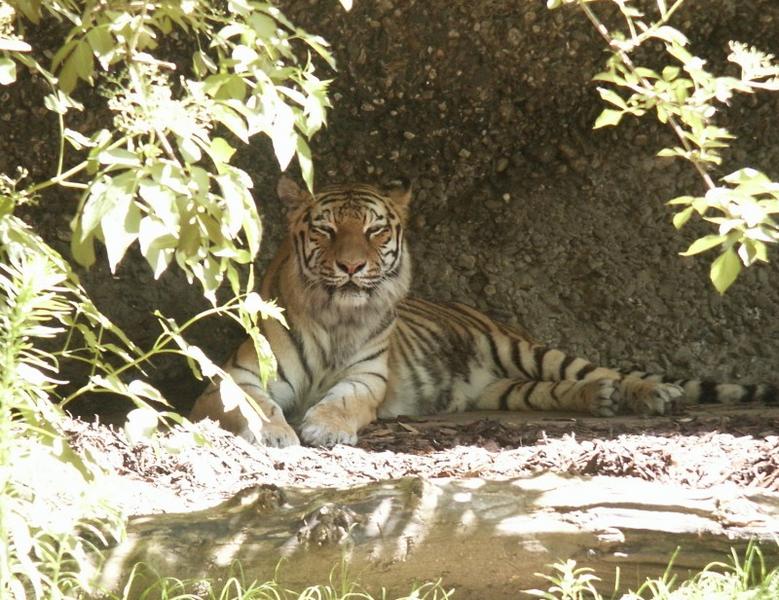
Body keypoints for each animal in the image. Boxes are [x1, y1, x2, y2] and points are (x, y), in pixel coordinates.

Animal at [190, 176, 779, 448]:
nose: (353, 266)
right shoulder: (232, 376)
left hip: (527, 351)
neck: (339, 317)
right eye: (326, 230)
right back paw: (600, 398)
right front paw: (275, 432)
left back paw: (649, 393)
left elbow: (344, 402)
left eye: (375, 231)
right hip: (502, 389)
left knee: (595, 369)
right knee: (550, 391)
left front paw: (325, 429)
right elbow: (254, 403)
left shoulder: (367, 379)